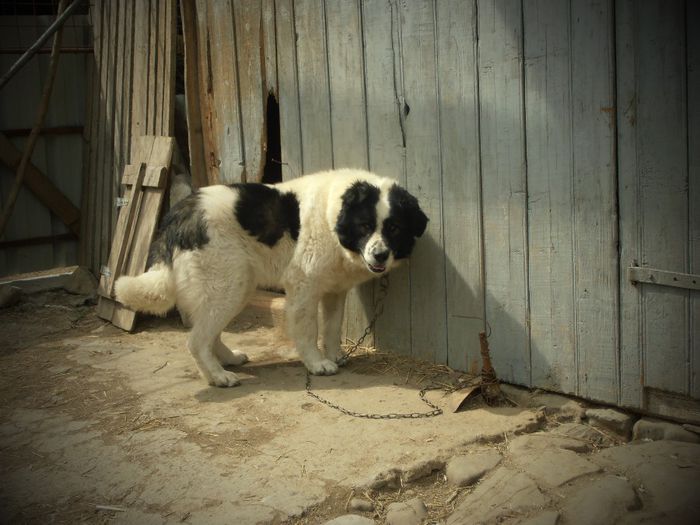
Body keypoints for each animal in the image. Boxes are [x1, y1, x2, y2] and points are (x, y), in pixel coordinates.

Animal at [115, 168, 426, 384]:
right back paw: (218, 377)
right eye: (364, 226)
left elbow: (332, 328)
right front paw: (317, 364)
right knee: (196, 340)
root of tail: (179, 214)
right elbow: (308, 332)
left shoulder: (334, 291)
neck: (333, 217)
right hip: (227, 286)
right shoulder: (304, 290)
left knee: (209, 332)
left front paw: (335, 354)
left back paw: (229, 360)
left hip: (237, 288)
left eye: (394, 228)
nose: (380, 255)